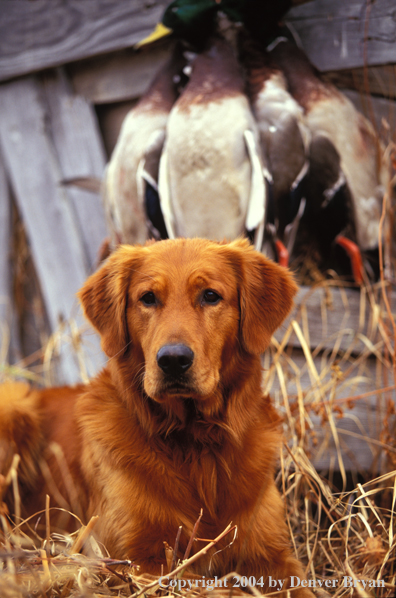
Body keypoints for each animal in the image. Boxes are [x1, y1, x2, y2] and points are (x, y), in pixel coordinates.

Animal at [0, 240, 312, 598]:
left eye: (210, 295)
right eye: (148, 298)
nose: (173, 360)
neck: (195, 440)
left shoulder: (272, 554)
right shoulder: (134, 560)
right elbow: (218, 588)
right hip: (14, 406)